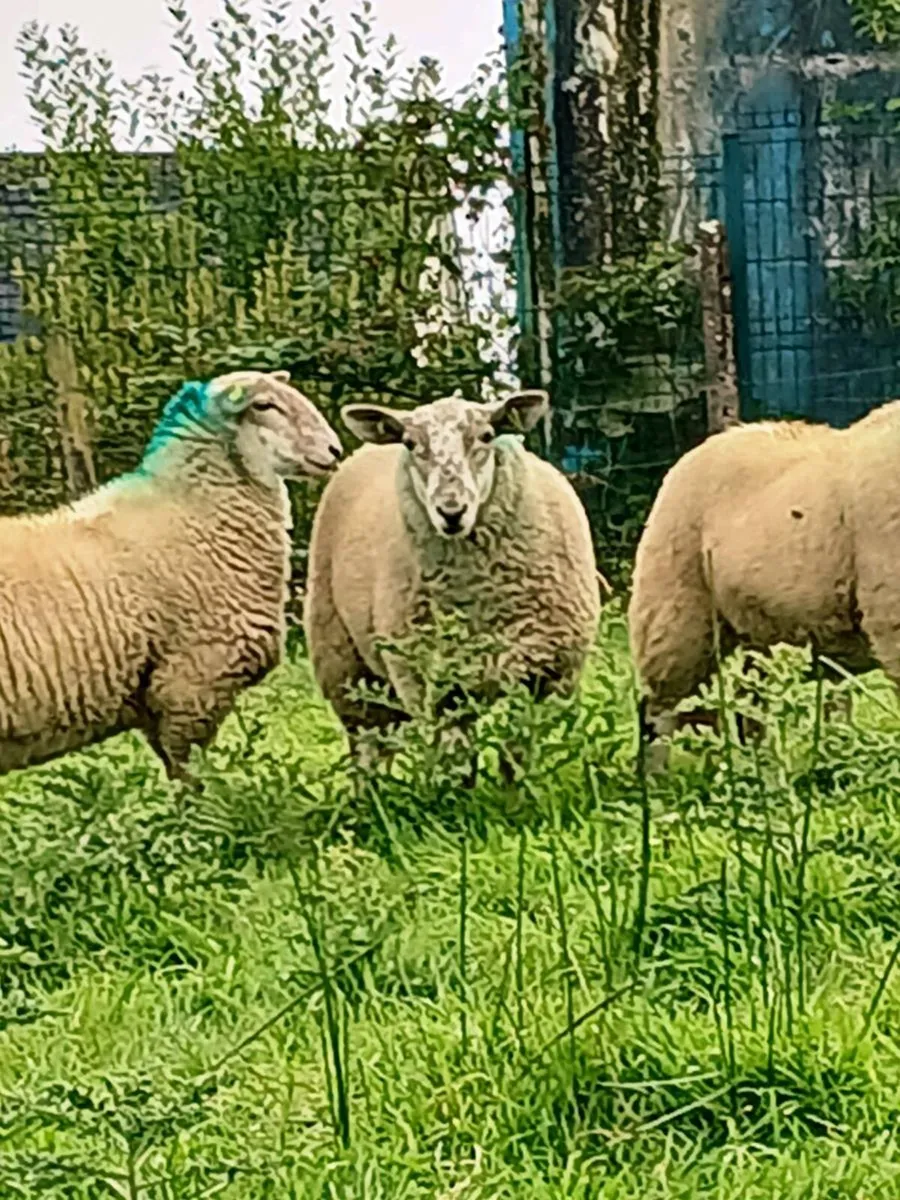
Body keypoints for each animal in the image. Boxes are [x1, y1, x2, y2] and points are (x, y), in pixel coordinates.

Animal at [0, 368, 342, 780]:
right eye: (263, 405)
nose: (335, 451)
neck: (192, 510)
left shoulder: (157, 702)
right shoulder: (189, 684)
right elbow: (192, 778)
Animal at [302, 389, 602, 776]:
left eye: (487, 436)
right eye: (411, 443)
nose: (451, 511)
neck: (480, 598)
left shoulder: (544, 670)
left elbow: (514, 755)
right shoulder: (435, 685)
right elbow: (457, 768)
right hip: (345, 665)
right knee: (368, 749)